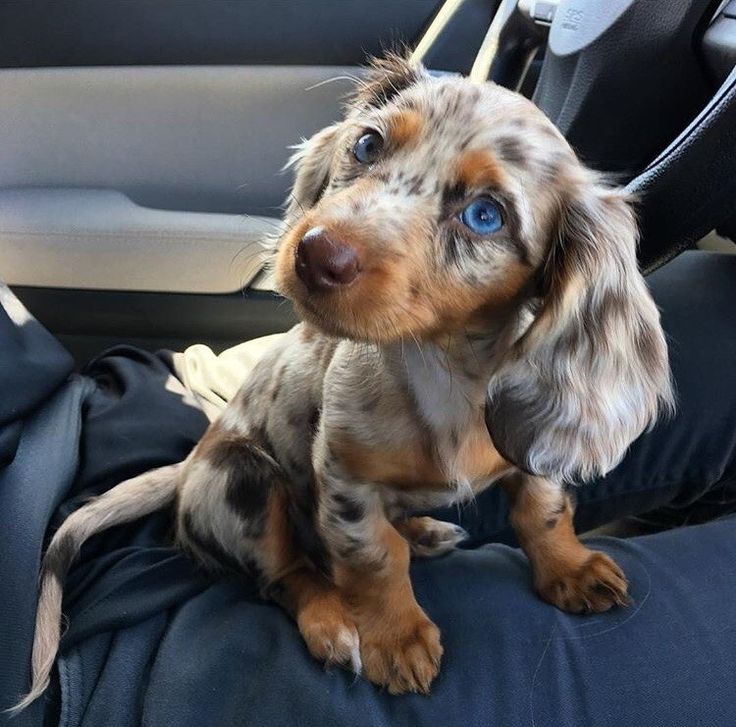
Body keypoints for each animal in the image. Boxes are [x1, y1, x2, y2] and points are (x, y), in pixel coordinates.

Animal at [12, 55, 672, 712]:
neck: (441, 369)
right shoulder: (343, 478)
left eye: (486, 215)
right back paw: (332, 621)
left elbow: (543, 510)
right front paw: (395, 638)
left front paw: (570, 570)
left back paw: (424, 529)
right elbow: (373, 557)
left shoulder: (528, 455)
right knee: (286, 575)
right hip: (246, 479)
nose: (314, 254)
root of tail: (187, 469)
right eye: (368, 143)